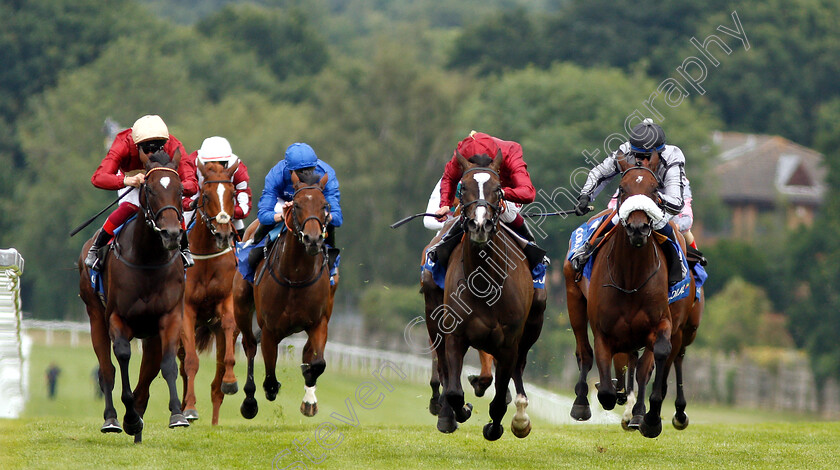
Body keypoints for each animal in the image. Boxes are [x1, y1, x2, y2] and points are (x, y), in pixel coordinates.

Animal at [78, 151, 189, 444]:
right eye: (149, 189)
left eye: (181, 190)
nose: (171, 234)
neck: (147, 258)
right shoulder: (117, 318)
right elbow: (123, 356)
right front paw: (128, 417)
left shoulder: (169, 317)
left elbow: (168, 364)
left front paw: (177, 414)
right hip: (95, 316)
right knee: (107, 370)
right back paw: (114, 419)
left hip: (150, 333)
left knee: (147, 373)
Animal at [231, 170, 336, 418]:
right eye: (296, 205)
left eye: (325, 205)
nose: (313, 239)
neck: (296, 276)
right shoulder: (270, 329)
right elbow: (269, 378)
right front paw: (267, 392)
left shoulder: (319, 322)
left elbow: (317, 363)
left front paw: (309, 396)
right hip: (241, 305)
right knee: (249, 345)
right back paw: (249, 401)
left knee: (307, 353)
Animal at [434, 153, 544, 440]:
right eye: (462, 188)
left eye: (498, 189)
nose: (480, 224)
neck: (484, 283)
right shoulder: (456, 335)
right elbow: (454, 392)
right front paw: (462, 410)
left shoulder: (508, 343)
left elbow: (498, 401)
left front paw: (495, 427)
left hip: (532, 325)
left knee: (519, 367)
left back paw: (520, 415)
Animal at [564, 157, 696, 436]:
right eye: (622, 189)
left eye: (655, 190)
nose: (638, 228)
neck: (631, 278)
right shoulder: (603, 330)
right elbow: (604, 386)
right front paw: (610, 394)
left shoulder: (662, 323)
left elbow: (655, 359)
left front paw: (648, 417)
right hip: (574, 299)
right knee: (584, 352)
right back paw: (582, 402)